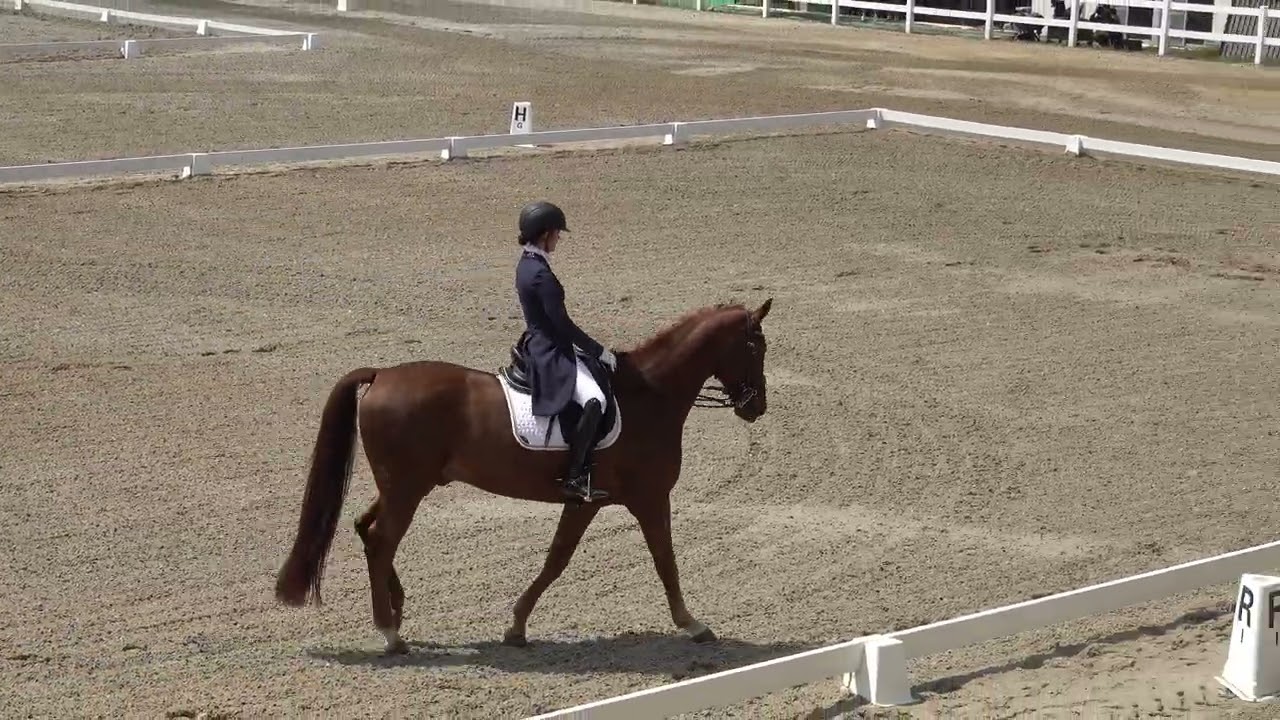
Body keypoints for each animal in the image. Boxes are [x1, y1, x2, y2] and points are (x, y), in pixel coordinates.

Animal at [273, 298, 774, 654]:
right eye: (756, 347)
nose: (756, 408)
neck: (648, 395)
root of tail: (380, 375)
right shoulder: (648, 499)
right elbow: (664, 561)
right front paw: (693, 624)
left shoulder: (586, 501)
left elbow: (556, 560)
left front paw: (515, 626)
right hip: (407, 488)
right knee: (380, 541)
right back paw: (390, 633)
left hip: (406, 485)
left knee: (365, 528)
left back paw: (397, 609)